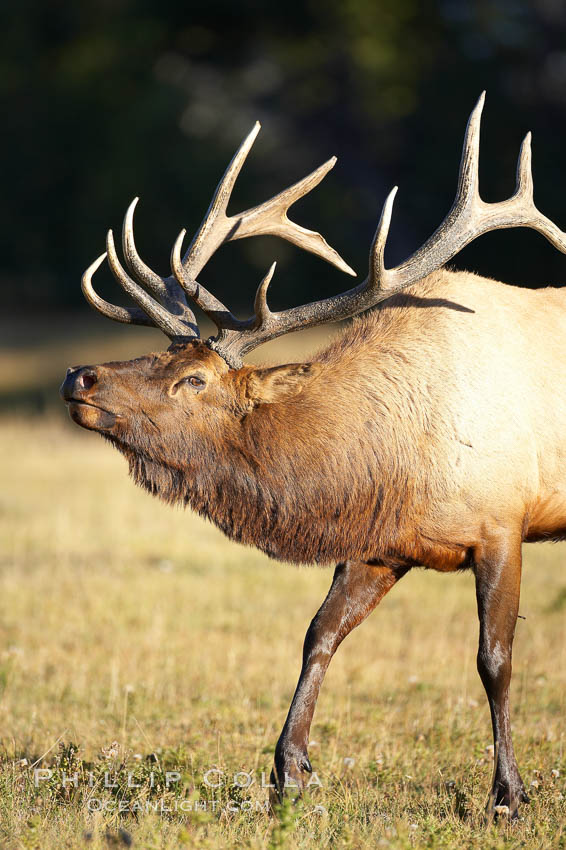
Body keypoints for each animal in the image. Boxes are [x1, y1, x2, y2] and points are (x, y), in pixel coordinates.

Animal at [61, 93, 566, 816]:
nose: (80, 376)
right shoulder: (385, 542)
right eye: (161, 355)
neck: (398, 460)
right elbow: (319, 633)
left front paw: (508, 796)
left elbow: (493, 659)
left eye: (196, 379)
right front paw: (289, 773)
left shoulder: (503, 522)